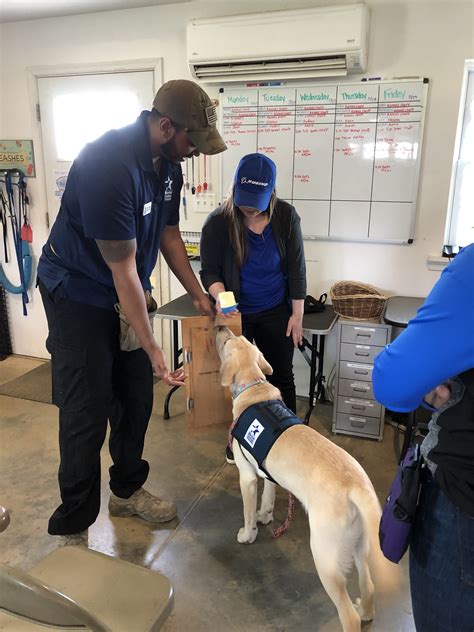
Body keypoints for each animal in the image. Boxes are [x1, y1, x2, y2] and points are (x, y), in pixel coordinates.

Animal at [216, 326, 400, 632]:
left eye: (229, 340)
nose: (221, 326)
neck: (253, 386)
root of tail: (356, 485)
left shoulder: (248, 477)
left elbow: (248, 511)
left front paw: (248, 534)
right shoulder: (267, 474)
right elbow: (267, 499)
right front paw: (266, 517)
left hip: (325, 556)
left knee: (347, 614)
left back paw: (353, 615)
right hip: (360, 545)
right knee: (369, 586)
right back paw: (366, 611)